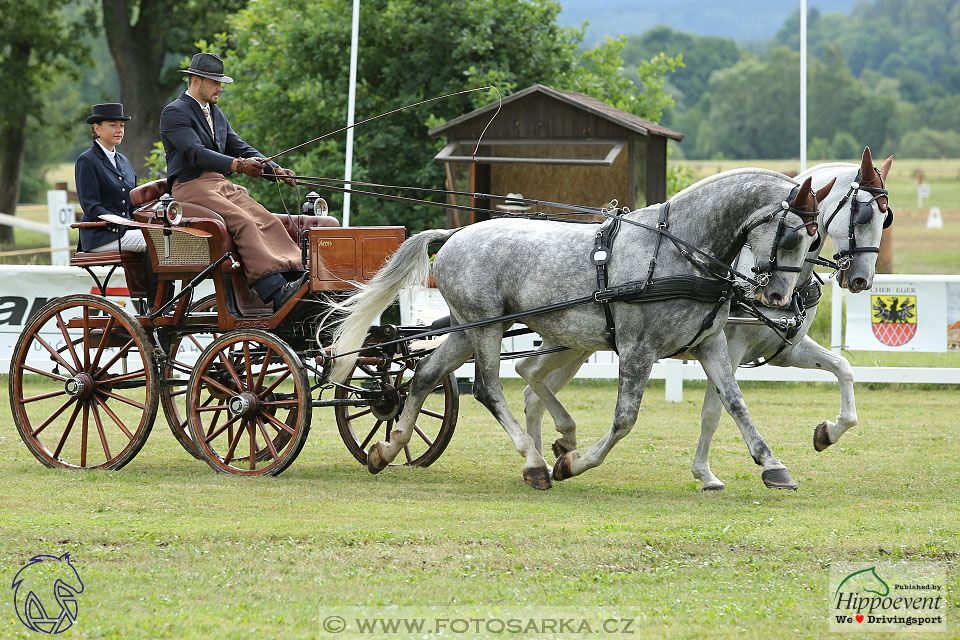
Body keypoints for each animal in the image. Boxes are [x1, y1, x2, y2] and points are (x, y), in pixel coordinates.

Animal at [326, 170, 828, 490]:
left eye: (814, 238)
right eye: (790, 236)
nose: (780, 297)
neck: (678, 251)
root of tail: (453, 236)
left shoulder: (708, 345)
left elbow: (735, 403)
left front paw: (773, 465)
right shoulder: (638, 349)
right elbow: (625, 419)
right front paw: (573, 462)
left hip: (468, 328)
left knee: (425, 377)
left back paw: (387, 450)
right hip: (486, 330)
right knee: (488, 388)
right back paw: (534, 464)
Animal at [516, 148, 892, 492]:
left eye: (885, 218)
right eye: (862, 215)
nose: (862, 279)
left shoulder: (784, 350)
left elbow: (843, 368)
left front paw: (828, 432)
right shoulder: (730, 347)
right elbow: (715, 411)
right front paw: (707, 474)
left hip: (575, 345)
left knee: (532, 385)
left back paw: (544, 459)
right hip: (572, 342)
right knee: (529, 378)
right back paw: (543, 457)